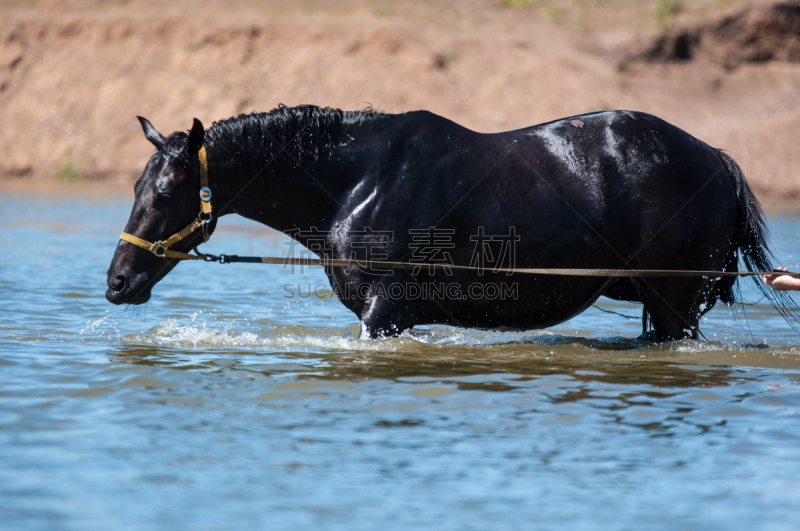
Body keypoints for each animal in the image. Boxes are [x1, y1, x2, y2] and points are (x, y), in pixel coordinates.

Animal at [106, 105, 788, 340]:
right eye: (136, 187)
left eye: (164, 192)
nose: (117, 282)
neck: (358, 180)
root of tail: (718, 160)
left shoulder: (385, 307)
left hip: (675, 301)